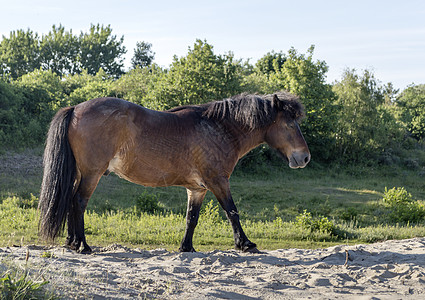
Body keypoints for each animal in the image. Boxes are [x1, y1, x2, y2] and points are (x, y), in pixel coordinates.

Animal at [38, 92, 310, 252]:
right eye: (289, 123)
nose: (304, 157)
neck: (217, 128)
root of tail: (76, 108)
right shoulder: (218, 181)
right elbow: (232, 211)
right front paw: (245, 244)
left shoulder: (197, 189)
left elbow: (192, 218)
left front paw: (186, 247)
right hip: (92, 174)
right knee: (79, 202)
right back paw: (82, 245)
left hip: (80, 173)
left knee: (71, 200)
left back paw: (72, 242)